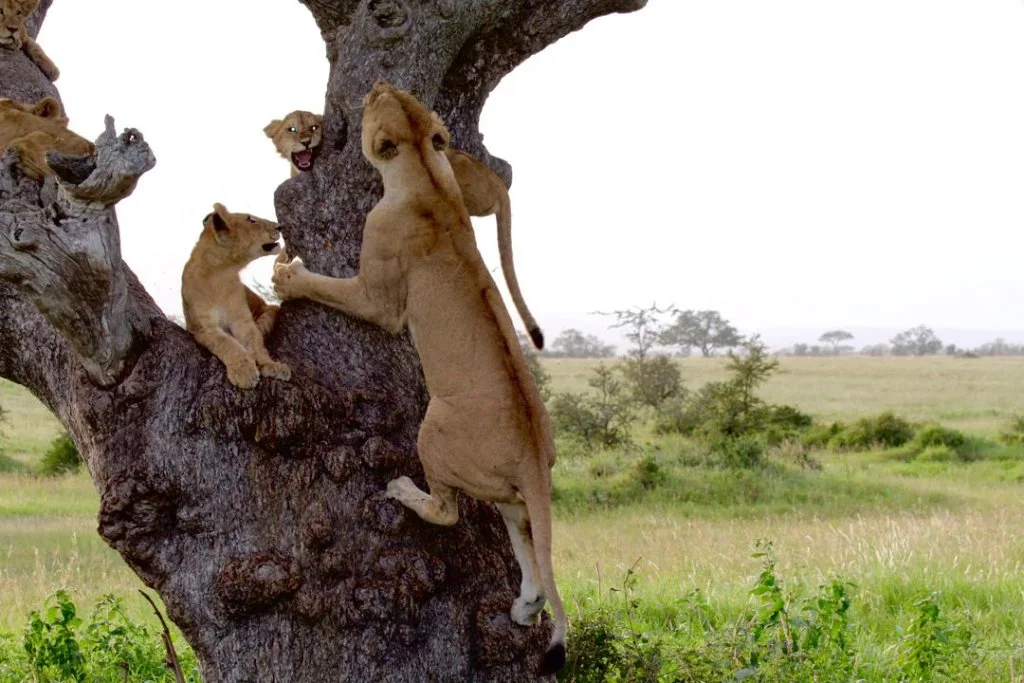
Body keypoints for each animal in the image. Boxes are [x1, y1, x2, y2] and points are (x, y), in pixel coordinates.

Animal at [182, 203, 291, 389]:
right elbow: (228, 344)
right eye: (251, 219)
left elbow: (255, 342)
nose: (280, 226)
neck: (221, 272)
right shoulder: (203, 329)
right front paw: (244, 372)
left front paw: (271, 365)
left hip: (270, 310)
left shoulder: (242, 320)